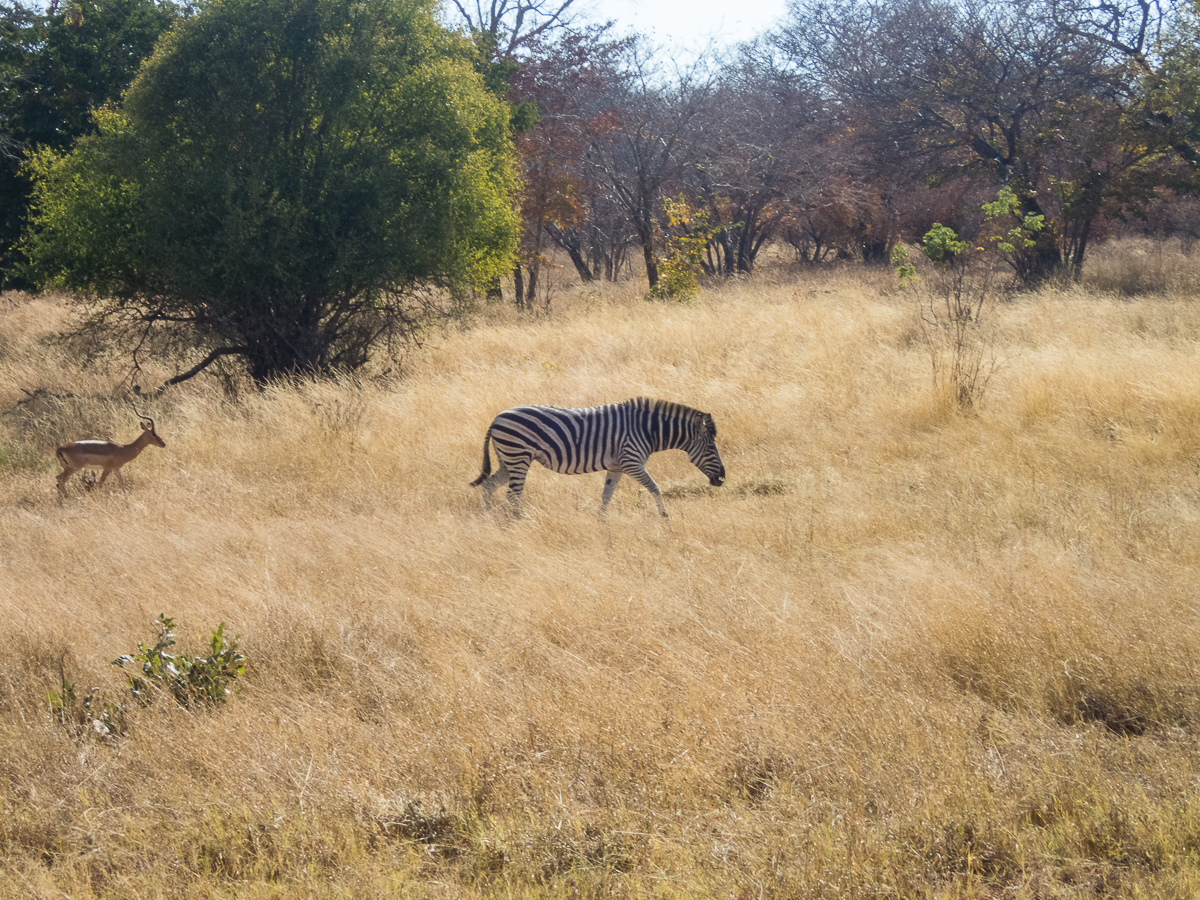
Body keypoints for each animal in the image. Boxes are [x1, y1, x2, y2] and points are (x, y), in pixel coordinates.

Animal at [472, 398, 724, 518]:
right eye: (711, 447)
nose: (722, 479)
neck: (647, 430)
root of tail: (496, 419)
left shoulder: (617, 466)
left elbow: (606, 495)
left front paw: (601, 523)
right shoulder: (631, 462)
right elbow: (655, 488)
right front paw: (665, 517)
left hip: (508, 460)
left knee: (488, 486)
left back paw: (489, 517)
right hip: (518, 456)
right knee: (512, 494)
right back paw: (520, 521)